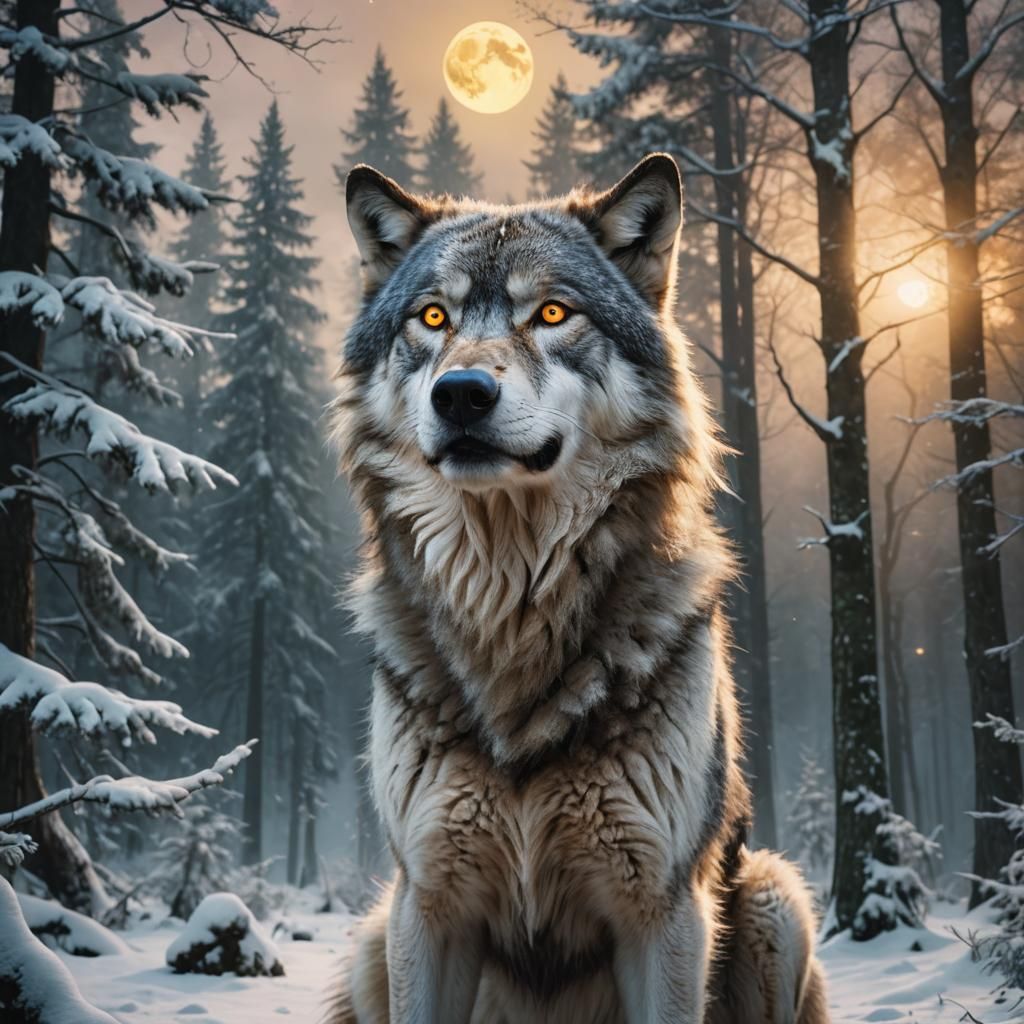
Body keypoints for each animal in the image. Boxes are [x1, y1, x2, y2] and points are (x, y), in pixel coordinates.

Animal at [326, 154, 829, 1024]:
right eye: (433, 318)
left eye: (552, 313)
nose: (460, 392)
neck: (511, 604)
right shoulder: (428, 905)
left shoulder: (663, 914)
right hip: (372, 937)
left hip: (773, 899)